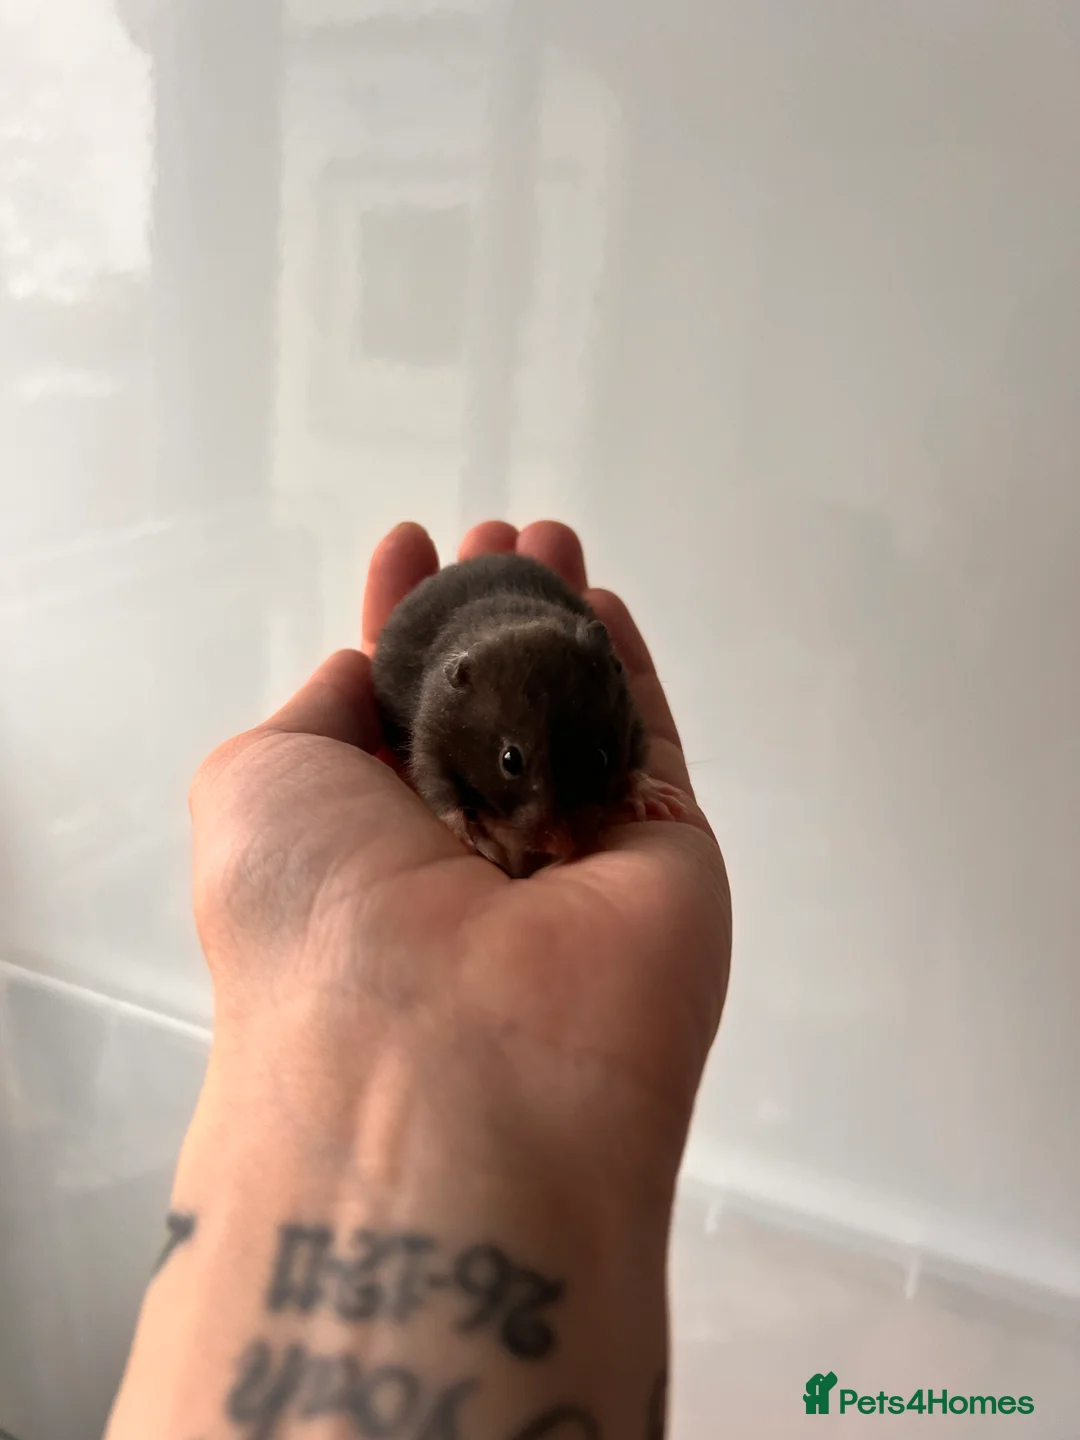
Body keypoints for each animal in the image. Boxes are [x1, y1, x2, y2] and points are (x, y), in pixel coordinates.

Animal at [371, 552, 685, 878]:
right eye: (509, 761)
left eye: (601, 758)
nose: (568, 850)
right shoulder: (431, 736)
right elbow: (439, 790)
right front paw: (475, 839)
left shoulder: (631, 716)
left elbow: (636, 765)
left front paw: (658, 798)